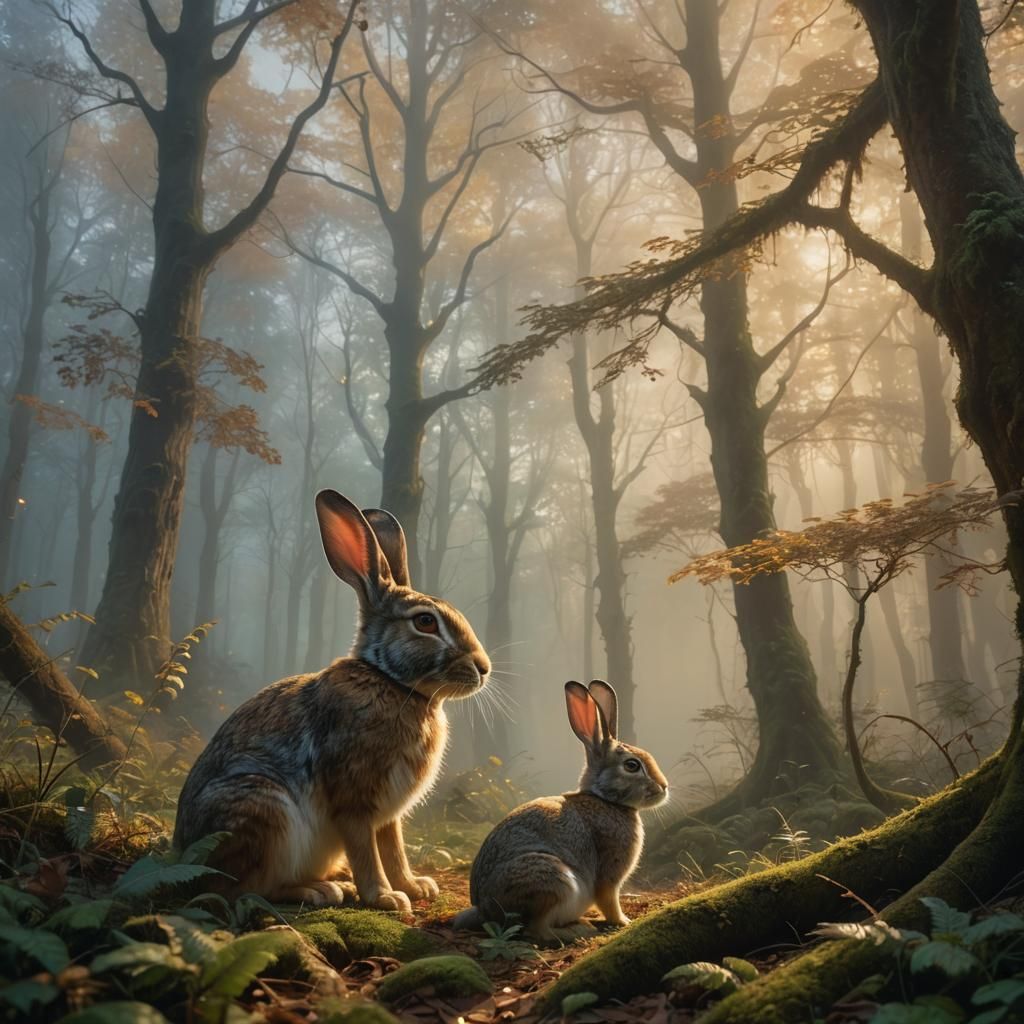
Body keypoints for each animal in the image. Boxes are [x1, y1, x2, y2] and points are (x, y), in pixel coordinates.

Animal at [173, 489, 491, 913]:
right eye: (425, 622)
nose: (484, 668)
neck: (389, 680)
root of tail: (184, 857)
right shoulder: (353, 800)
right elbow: (366, 851)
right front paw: (385, 898)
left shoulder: (388, 814)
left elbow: (394, 848)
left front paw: (414, 886)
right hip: (263, 810)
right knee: (242, 889)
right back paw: (321, 890)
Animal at [453, 680, 668, 939]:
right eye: (632, 765)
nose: (664, 787)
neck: (605, 799)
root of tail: (485, 910)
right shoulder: (608, 874)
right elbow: (609, 900)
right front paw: (624, 922)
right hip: (552, 880)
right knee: (537, 930)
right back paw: (579, 929)